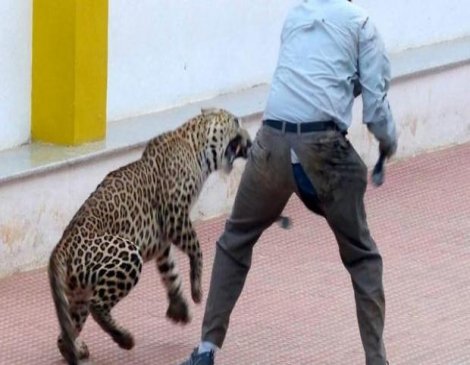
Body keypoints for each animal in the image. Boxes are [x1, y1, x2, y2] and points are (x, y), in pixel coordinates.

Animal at [47, 106, 252, 362]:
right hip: (127, 254)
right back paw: (124, 338)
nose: (251, 142)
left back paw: (75, 349)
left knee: (66, 329)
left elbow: (170, 271)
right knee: (97, 306)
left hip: (78, 292)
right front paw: (196, 291)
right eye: (236, 121)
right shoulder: (175, 216)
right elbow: (197, 249)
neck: (196, 146)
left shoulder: (162, 239)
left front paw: (180, 308)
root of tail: (60, 247)